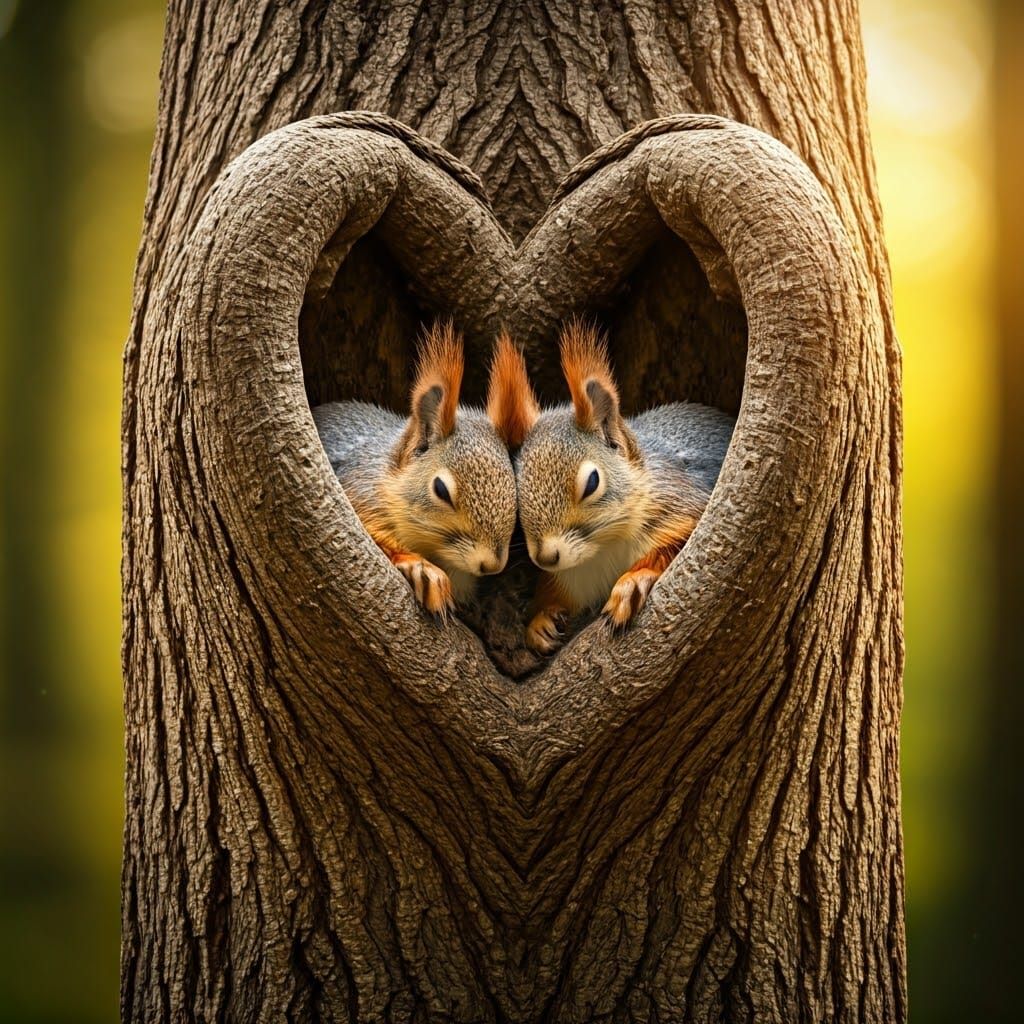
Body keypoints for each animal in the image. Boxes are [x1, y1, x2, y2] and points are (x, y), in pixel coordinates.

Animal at [506, 319, 735, 654]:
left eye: (592, 482)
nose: (547, 558)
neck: (604, 547)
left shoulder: (684, 504)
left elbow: (672, 548)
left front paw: (633, 581)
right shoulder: (572, 578)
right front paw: (540, 622)